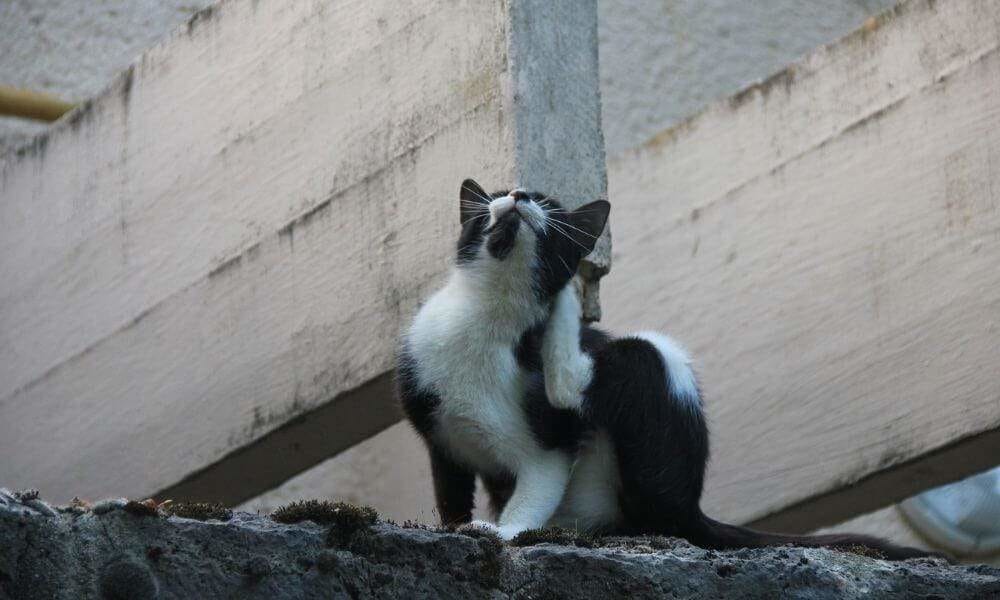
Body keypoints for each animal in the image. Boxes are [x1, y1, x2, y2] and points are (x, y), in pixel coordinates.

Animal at [396, 178, 936, 564]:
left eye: (548, 202)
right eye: (495, 194)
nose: (518, 195)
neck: (491, 314)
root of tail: (692, 505)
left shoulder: (548, 447)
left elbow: (535, 486)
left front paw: (501, 530)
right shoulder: (438, 432)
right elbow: (451, 491)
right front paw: (458, 526)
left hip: (655, 368)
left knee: (603, 382)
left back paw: (568, 302)